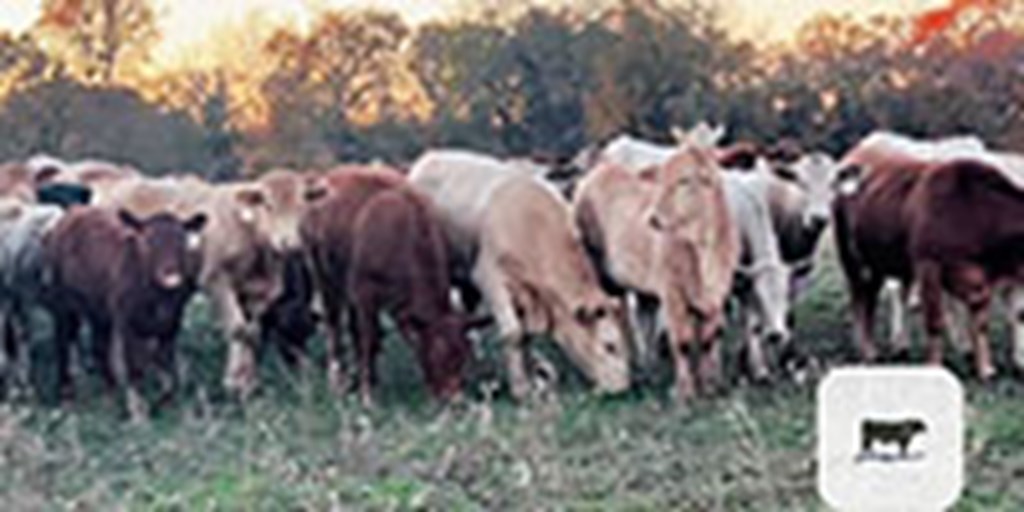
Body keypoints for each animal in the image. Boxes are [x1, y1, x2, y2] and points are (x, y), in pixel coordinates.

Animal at [42, 205, 205, 417]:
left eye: (181, 241)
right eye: (148, 241)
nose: (171, 276)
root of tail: (74, 211)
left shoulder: (172, 323)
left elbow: (165, 363)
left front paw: (165, 402)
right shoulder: (127, 323)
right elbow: (135, 366)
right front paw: (138, 411)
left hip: (99, 311)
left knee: (99, 348)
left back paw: (110, 394)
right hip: (63, 303)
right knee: (62, 343)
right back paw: (66, 396)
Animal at [299, 167, 475, 403]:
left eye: (464, 357)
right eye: (437, 354)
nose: (453, 400)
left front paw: (369, 383)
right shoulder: (365, 293)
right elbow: (369, 339)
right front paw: (367, 395)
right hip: (324, 277)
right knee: (334, 326)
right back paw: (337, 382)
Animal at [407, 149, 630, 397]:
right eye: (610, 346)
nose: (623, 389)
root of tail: (431, 156)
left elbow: (525, 336)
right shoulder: (489, 277)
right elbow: (513, 332)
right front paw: (520, 388)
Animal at [577, 138, 737, 401]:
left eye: (685, 179)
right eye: (662, 178)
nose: (653, 218)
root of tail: (603, 168)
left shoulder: (716, 294)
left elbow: (707, 340)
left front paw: (709, 386)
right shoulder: (672, 293)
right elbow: (682, 342)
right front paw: (684, 391)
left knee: (645, 321)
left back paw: (649, 370)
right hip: (603, 274)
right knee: (619, 317)